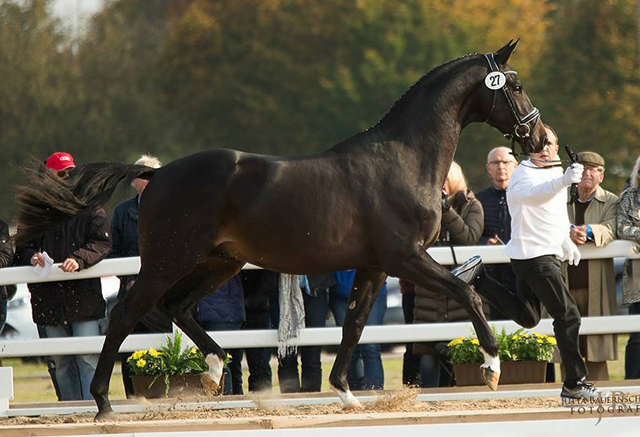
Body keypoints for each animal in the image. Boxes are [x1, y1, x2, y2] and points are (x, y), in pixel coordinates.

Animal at [15, 41, 544, 418]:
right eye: (514, 85)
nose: (539, 138)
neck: (404, 157)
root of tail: (158, 176)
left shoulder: (374, 267)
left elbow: (354, 325)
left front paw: (345, 394)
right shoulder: (406, 258)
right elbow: (468, 292)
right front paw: (492, 367)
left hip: (219, 262)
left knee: (177, 307)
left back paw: (213, 371)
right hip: (169, 260)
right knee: (128, 313)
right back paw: (104, 403)